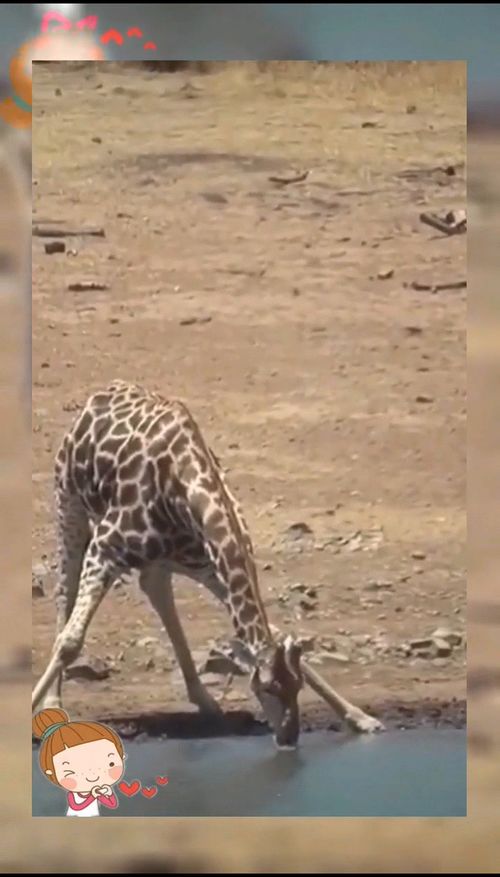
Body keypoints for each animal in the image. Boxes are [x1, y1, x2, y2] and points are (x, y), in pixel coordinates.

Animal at [32, 380, 383, 747]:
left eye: (296, 686)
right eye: (268, 688)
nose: (289, 737)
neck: (184, 491)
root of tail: (101, 394)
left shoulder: (212, 567)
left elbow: (274, 632)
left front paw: (360, 717)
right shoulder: (105, 548)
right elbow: (70, 642)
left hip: (165, 559)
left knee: (157, 592)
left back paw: (205, 700)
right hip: (68, 505)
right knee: (65, 594)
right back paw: (53, 702)